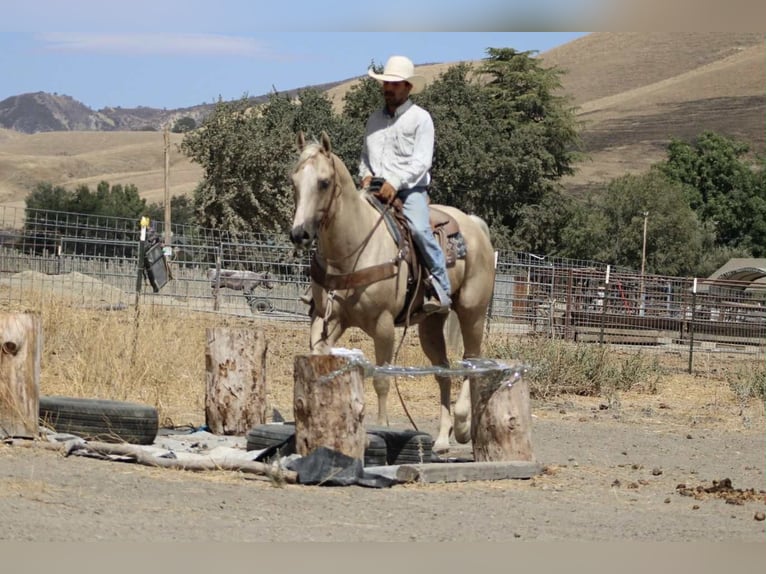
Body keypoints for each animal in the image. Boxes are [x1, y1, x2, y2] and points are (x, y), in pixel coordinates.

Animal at [289, 131, 495, 452]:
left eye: (323, 182)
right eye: (294, 181)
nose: (299, 233)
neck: (352, 248)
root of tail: (474, 225)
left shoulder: (383, 325)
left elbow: (381, 379)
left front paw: (381, 427)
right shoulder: (327, 320)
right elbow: (319, 361)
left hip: (472, 312)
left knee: (472, 359)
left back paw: (463, 426)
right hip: (430, 324)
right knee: (443, 371)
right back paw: (442, 439)